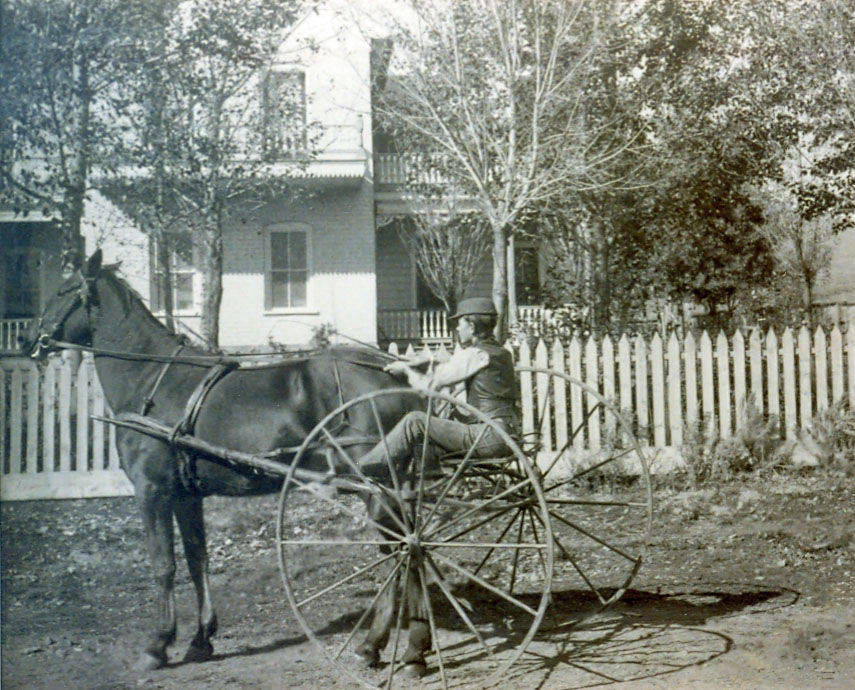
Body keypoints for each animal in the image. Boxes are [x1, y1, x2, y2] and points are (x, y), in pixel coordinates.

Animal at [23, 249, 430, 675]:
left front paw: (157, 644)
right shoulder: (186, 495)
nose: (25, 337)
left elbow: (163, 564)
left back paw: (374, 643)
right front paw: (201, 639)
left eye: (64, 290)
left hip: (378, 489)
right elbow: (196, 559)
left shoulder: (153, 491)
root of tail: (396, 379)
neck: (152, 379)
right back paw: (414, 646)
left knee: (401, 551)